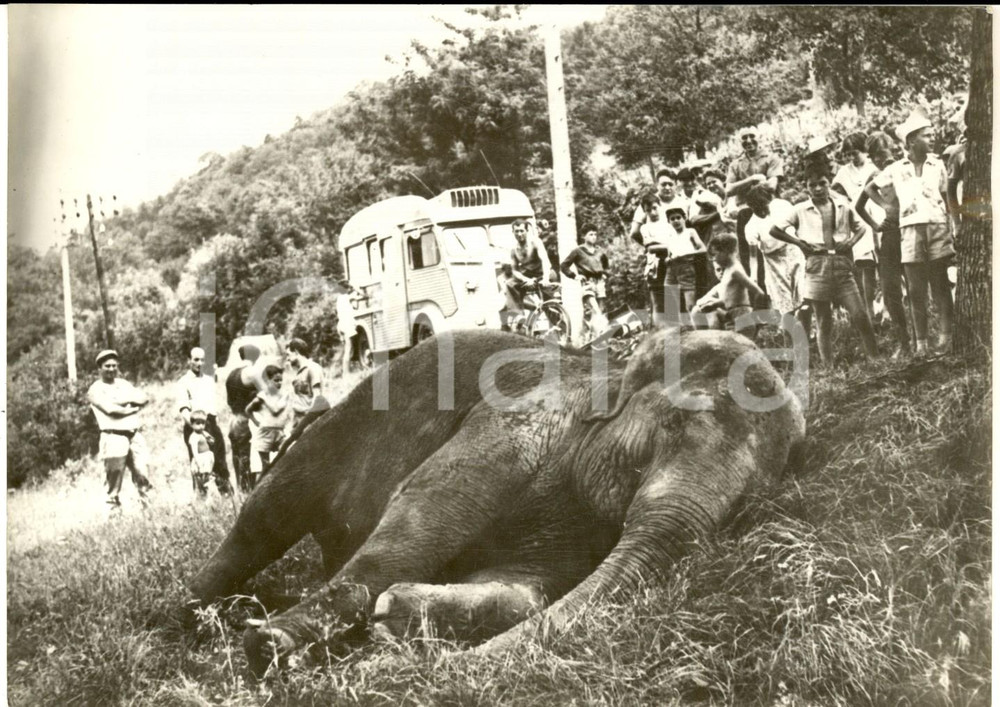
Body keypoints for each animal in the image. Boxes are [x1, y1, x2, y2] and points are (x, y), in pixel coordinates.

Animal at [189, 328, 805, 677]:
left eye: (748, 502)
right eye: (674, 425)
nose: (451, 670)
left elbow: (523, 590)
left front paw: (394, 617)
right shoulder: (516, 422)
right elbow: (421, 518)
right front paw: (269, 648)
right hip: (333, 429)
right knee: (265, 517)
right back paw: (195, 615)